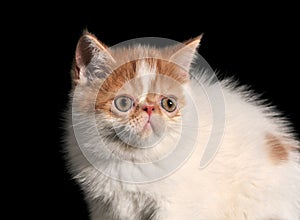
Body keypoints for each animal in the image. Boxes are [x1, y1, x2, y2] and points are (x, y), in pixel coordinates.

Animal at [63, 31, 300, 220]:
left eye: (169, 104)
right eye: (123, 103)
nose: (149, 109)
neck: (133, 159)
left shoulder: (178, 205)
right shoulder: (104, 206)